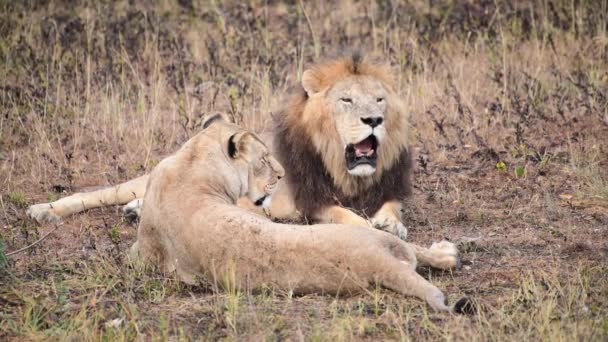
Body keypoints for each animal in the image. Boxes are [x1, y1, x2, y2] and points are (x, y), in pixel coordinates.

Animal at [26, 53, 410, 240]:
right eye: (346, 100)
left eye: (379, 99)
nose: (374, 119)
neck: (345, 170)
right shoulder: (307, 203)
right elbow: (342, 214)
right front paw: (371, 227)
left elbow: (393, 206)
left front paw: (391, 224)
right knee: (94, 194)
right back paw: (44, 210)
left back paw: (135, 210)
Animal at [132, 116, 476, 314]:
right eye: (265, 159)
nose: (282, 175)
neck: (193, 159)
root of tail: (378, 263)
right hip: (372, 235)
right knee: (425, 254)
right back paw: (448, 251)